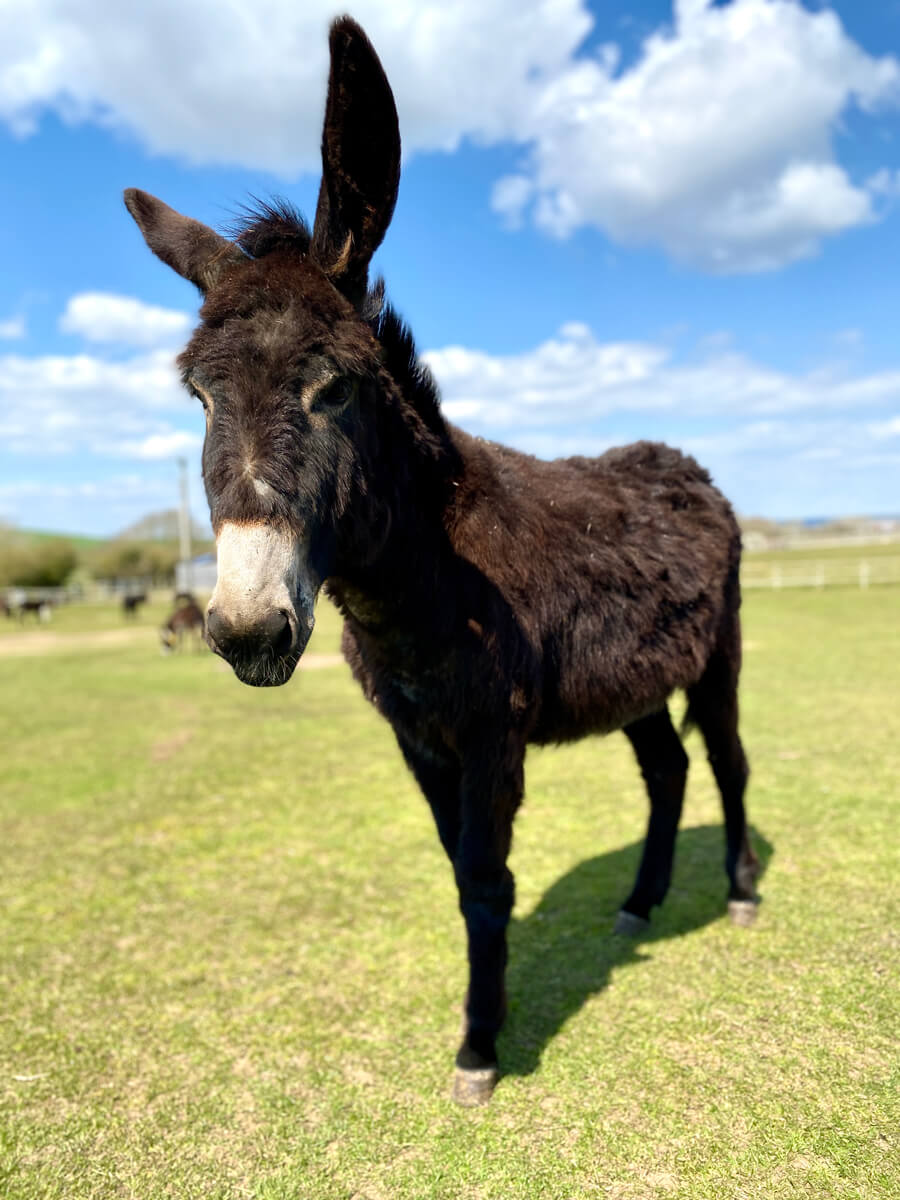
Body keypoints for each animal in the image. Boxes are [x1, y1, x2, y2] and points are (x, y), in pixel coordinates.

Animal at [125, 16, 759, 1106]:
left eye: (334, 388)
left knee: (724, 760)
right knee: (668, 768)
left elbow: (485, 879)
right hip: (632, 681)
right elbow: (457, 871)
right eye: (199, 397)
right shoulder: (418, 739)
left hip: (718, 656)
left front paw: (479, 1051)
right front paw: (481, 1028)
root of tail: (681, 463)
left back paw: (741, 894)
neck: (421, 590)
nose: (247, 631)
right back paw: (640, 904)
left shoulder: (492, 734)